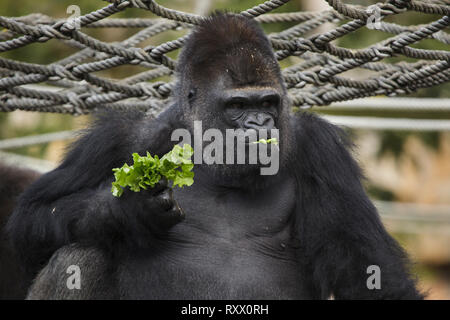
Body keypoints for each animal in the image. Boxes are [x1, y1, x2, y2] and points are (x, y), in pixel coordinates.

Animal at [6, 13, 422, 300]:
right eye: (237, 106)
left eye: (267, 103)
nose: (259, 123)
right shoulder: (118, 138)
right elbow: (28, 223)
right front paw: (124, 210)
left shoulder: (322, 152)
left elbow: (370, 274)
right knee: (78, 255)